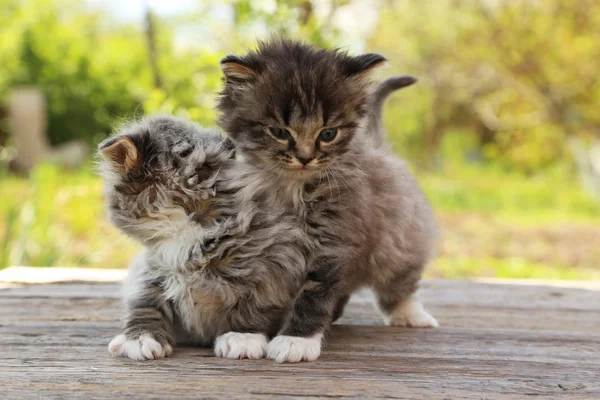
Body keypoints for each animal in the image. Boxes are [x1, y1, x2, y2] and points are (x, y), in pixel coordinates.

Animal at [97, 116, 314, 362]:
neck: (183, 232)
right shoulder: (151, 273)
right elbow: (145, 306)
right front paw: (141, 339)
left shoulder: (275, 266)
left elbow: (255, 307)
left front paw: (241, 337)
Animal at [218, 39, 438, 364]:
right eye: (280, 132)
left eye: (328, 133)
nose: (305, 157)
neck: (291, 188)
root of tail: (378, 148)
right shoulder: (258, 245)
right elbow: (254, 291)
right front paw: (244, 333)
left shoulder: (334, 241)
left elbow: (314, 295)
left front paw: (296, 340)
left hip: (398, 242)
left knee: (399, 283)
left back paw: (409, 313)